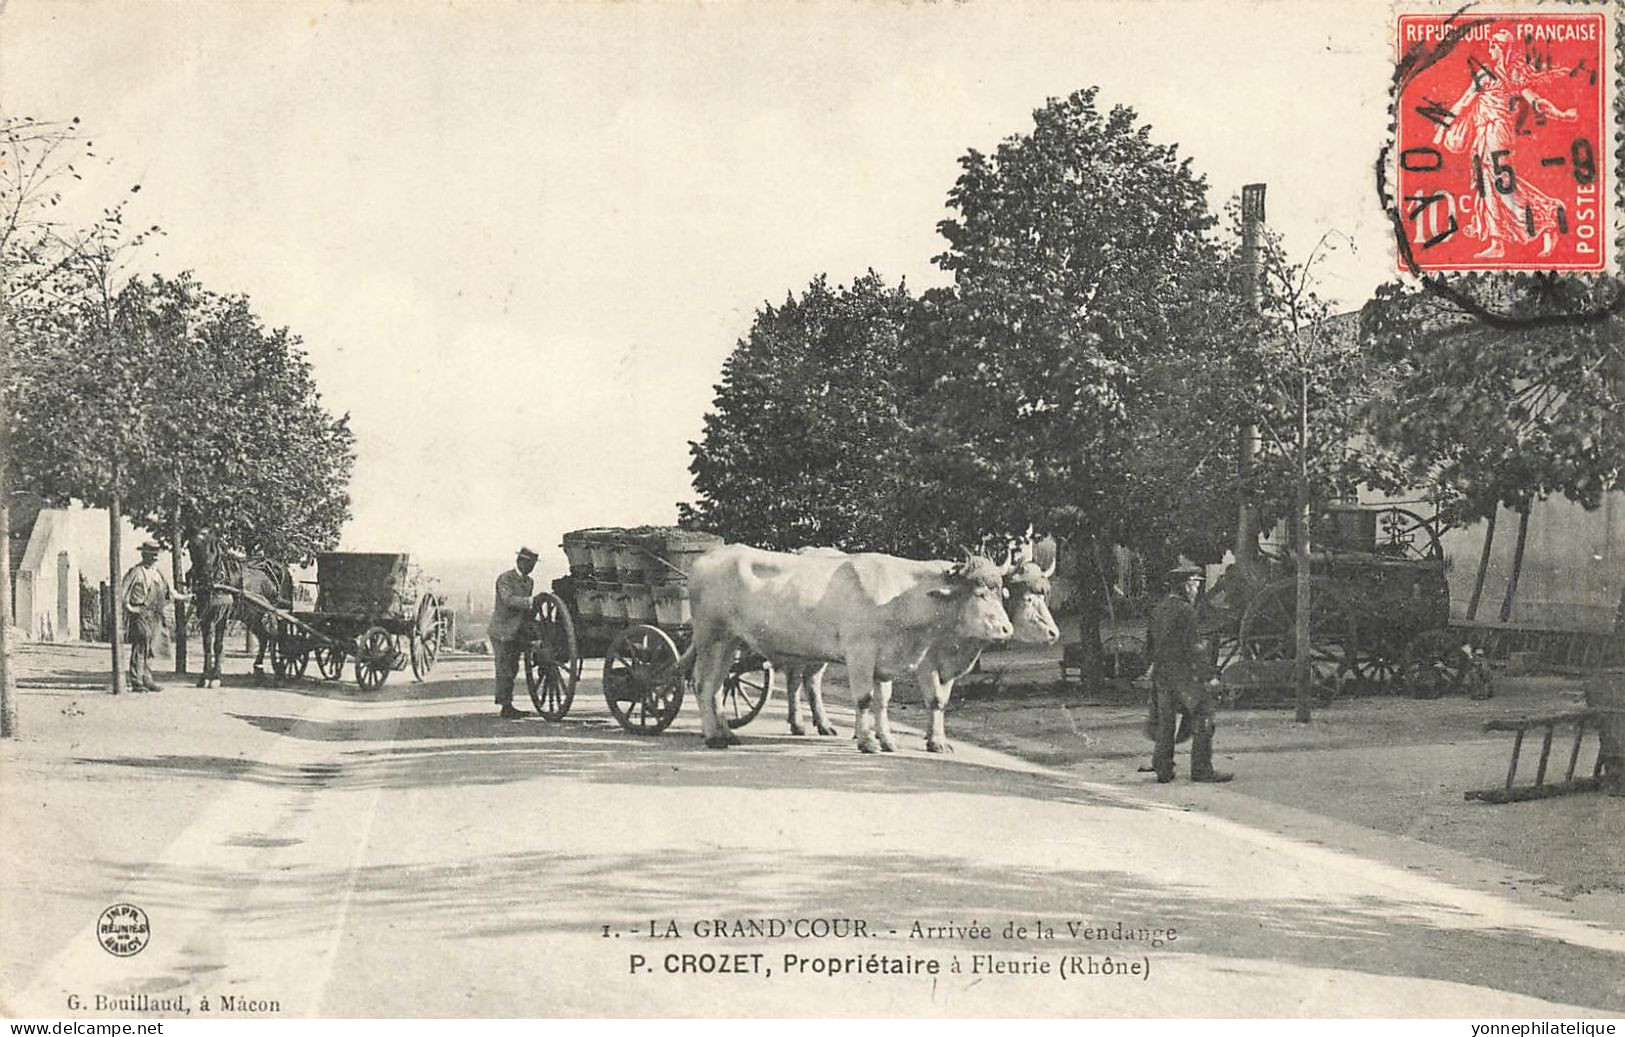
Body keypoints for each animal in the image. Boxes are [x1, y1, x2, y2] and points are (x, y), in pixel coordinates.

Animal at [187, 533, 295, 685]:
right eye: (191, 546)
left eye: (213, 548)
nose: (205, 578)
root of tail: (282, 567)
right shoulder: (204, 615)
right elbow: (206, 645)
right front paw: (204, 677)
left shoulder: (223, 615)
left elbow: (218, 645)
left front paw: (215, 677)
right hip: (252, 616)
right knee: (264, 638)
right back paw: (259, 671)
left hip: (281, 614)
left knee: (281, 639)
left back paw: (280, 672)